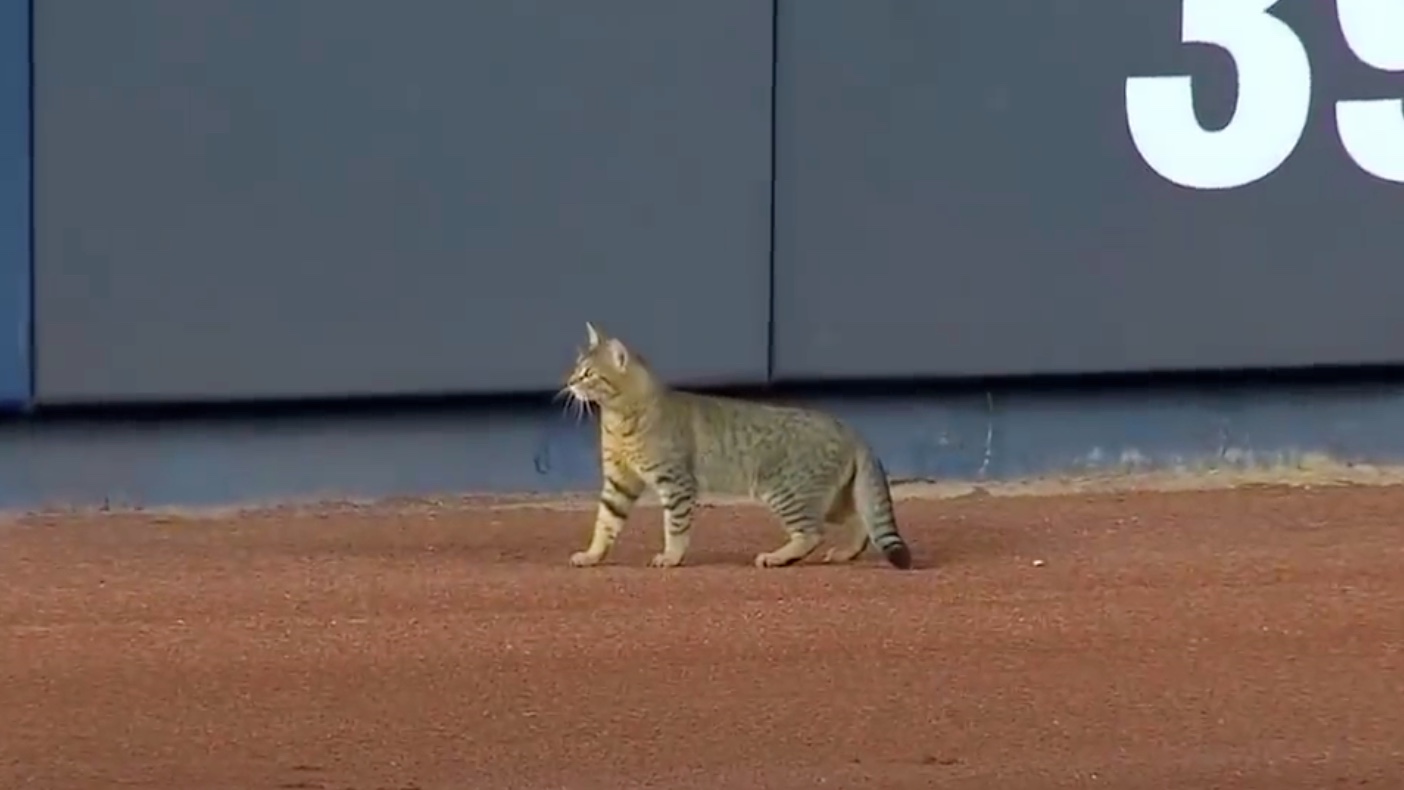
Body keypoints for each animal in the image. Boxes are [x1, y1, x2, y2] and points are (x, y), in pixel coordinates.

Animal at [564, 321, 915, 569]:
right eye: (576, 369)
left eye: (587, 374)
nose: (568, 383)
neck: (620, 421)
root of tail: (850, 427)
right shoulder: (619, 482)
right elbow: (605, 522)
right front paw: (592, 555)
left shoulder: (675, 483)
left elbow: (675, 527)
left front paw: (671, 557)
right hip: (831, 498)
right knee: (861, 521)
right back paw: (844, 553)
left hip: (786, 491)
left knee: (812, 533)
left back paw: (777, 557)